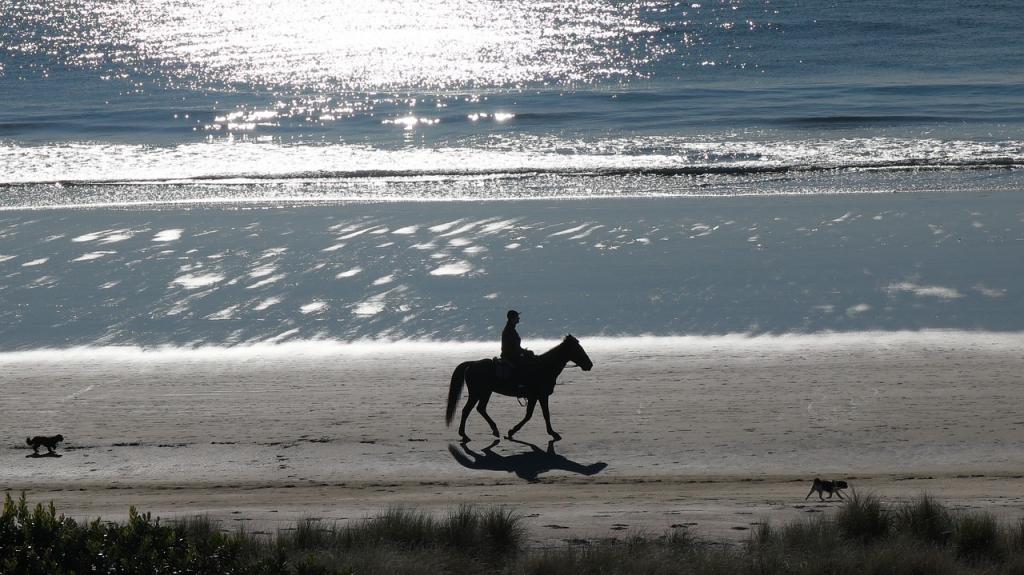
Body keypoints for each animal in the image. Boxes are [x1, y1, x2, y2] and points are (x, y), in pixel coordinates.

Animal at [446, 331, 593, 437]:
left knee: (480, 409)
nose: (589, 365)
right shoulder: (541, 395)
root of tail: (472, 364)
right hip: (477, 393)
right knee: (467, 410)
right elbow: (543, 414)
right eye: (578, 349)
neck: (544, 367)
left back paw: (493, 429)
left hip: (485, 393)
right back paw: (463, 433)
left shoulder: (534, 397)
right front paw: (553, 433)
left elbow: (530, 415)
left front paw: (512, 431)